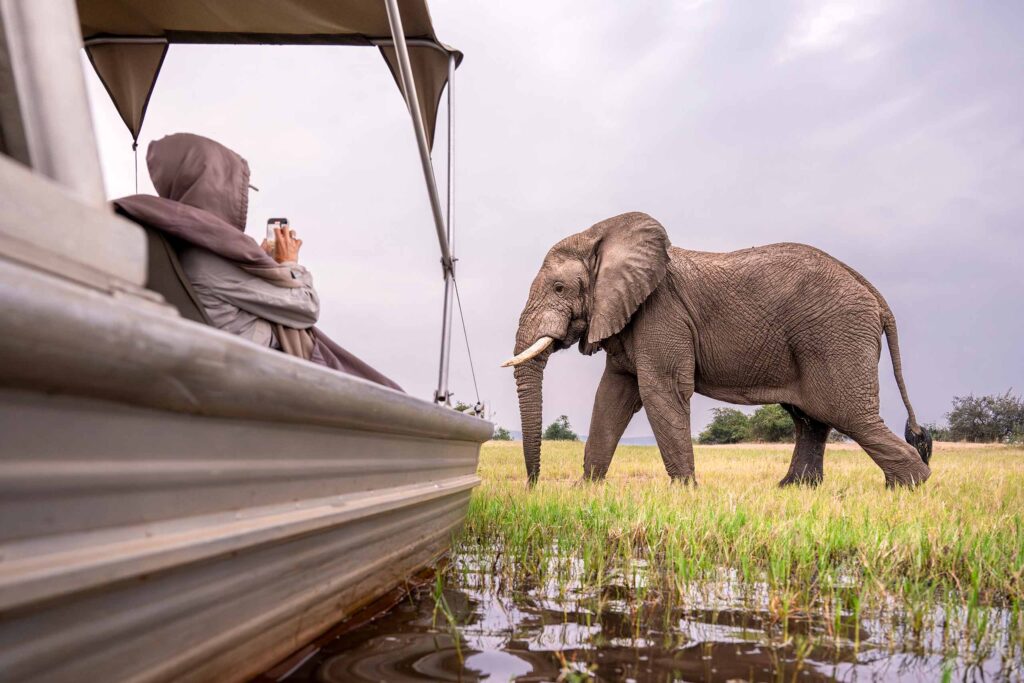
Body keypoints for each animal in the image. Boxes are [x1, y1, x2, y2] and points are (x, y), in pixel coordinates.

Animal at [503, 212, 932, 488]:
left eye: (559, 288)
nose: (533, 486)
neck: (601, 236)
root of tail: (874, 294)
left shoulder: (662, 311)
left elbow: (659, 390)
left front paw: (684, 492)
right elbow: (612, 395)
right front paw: (586, 490)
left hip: (835, 334)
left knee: (847, 414)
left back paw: (910, 486)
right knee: (811, 418)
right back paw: (793, 489)